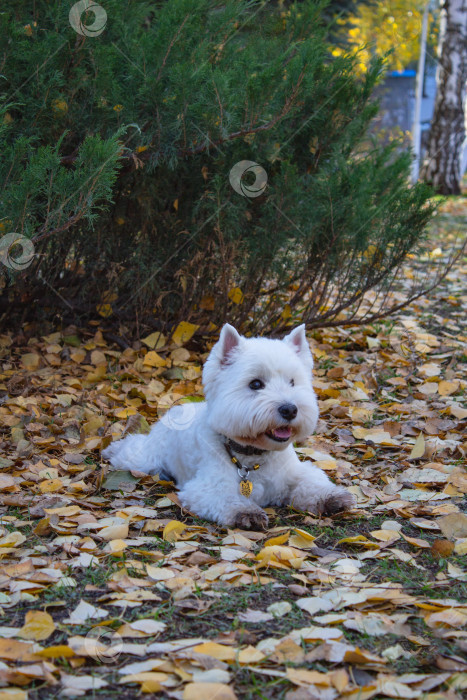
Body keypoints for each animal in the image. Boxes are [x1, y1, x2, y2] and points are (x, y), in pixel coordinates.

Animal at [103, 326, 354, 528]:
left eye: (293, 382)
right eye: (255, 384)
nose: (290, 409)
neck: (253, 456)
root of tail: (179, 409)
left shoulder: (293, 473)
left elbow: (311, 481)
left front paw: (331, 496)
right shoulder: (207, 486)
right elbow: (227, 498)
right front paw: (246, 512)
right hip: (147, 458)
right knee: (133, 449)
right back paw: (112, 449)